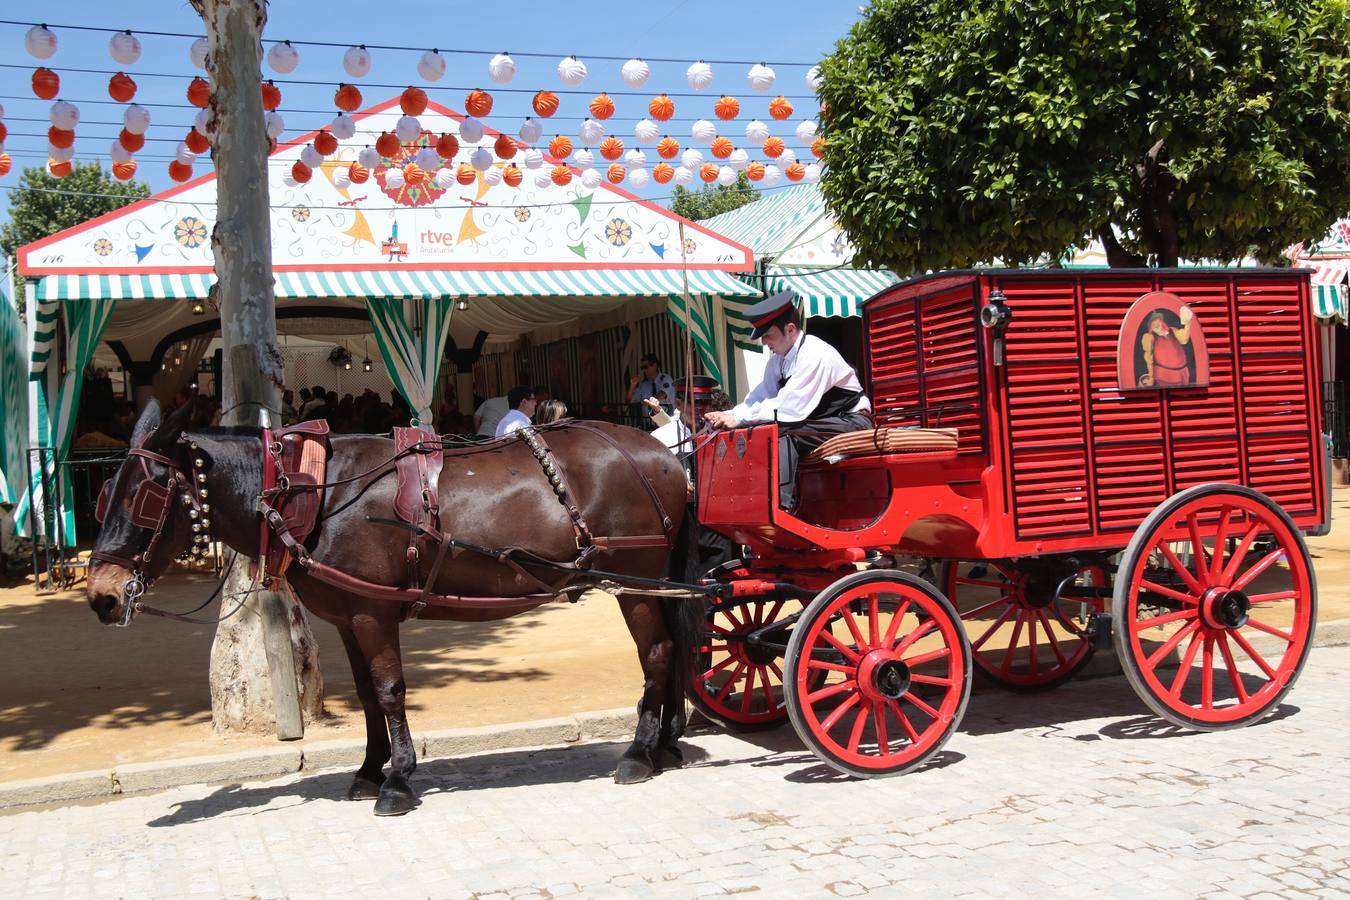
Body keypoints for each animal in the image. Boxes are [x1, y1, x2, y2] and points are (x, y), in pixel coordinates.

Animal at [87, 402, 707, 814]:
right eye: (104, 495)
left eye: (144, 499)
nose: (102, 596)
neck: (314, 491)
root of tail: (664, 456)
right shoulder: (347, 618)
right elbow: (365, 694)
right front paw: (368, 769)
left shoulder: (373, 613)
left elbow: (389, 691)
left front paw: (398, 780)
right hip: (653, 583)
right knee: (675, 647)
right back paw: (668, 743)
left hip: (636, 580)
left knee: (657, 652)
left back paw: (640, 751)